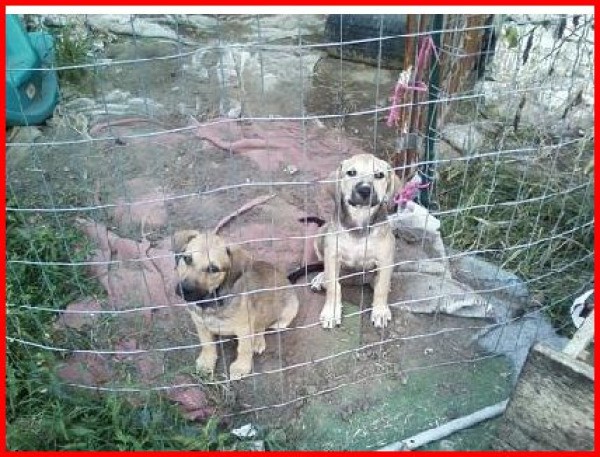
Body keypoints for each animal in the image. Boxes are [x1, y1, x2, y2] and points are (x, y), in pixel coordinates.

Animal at [172, 230, 298, 380]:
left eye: (213, 269)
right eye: (187, 259)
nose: (184, 290)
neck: (212, 302)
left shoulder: (244, 328)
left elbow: (243, 349)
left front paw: (241, 367)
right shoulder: (200, 324)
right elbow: (207, 344)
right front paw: (206, 362)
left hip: (288, 309)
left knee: (267, 325)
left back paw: (260, 339)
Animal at [312, 153, 400, 328]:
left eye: (379, 175)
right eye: (351, 173)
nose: (365, 190)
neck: (359, 221)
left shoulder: (385, 259)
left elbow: (381, 288)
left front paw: (380, 311)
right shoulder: (332, 256)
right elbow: (334, 286)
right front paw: (331, 312)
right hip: (320, 236)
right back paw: (321, 277)